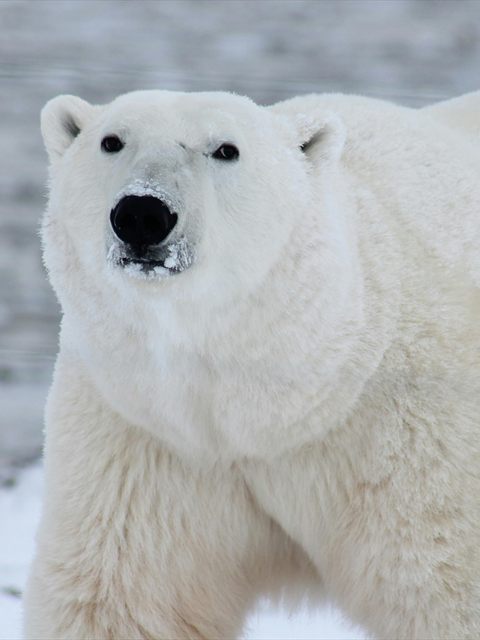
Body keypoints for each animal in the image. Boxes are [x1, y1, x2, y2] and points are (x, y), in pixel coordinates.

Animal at [24, 89, 480, 639]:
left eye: (225, 149)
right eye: (111, 141)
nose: (142, 213)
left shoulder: (411, 441)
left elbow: (443, 582)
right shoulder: (144, 437)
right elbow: (122, 597)